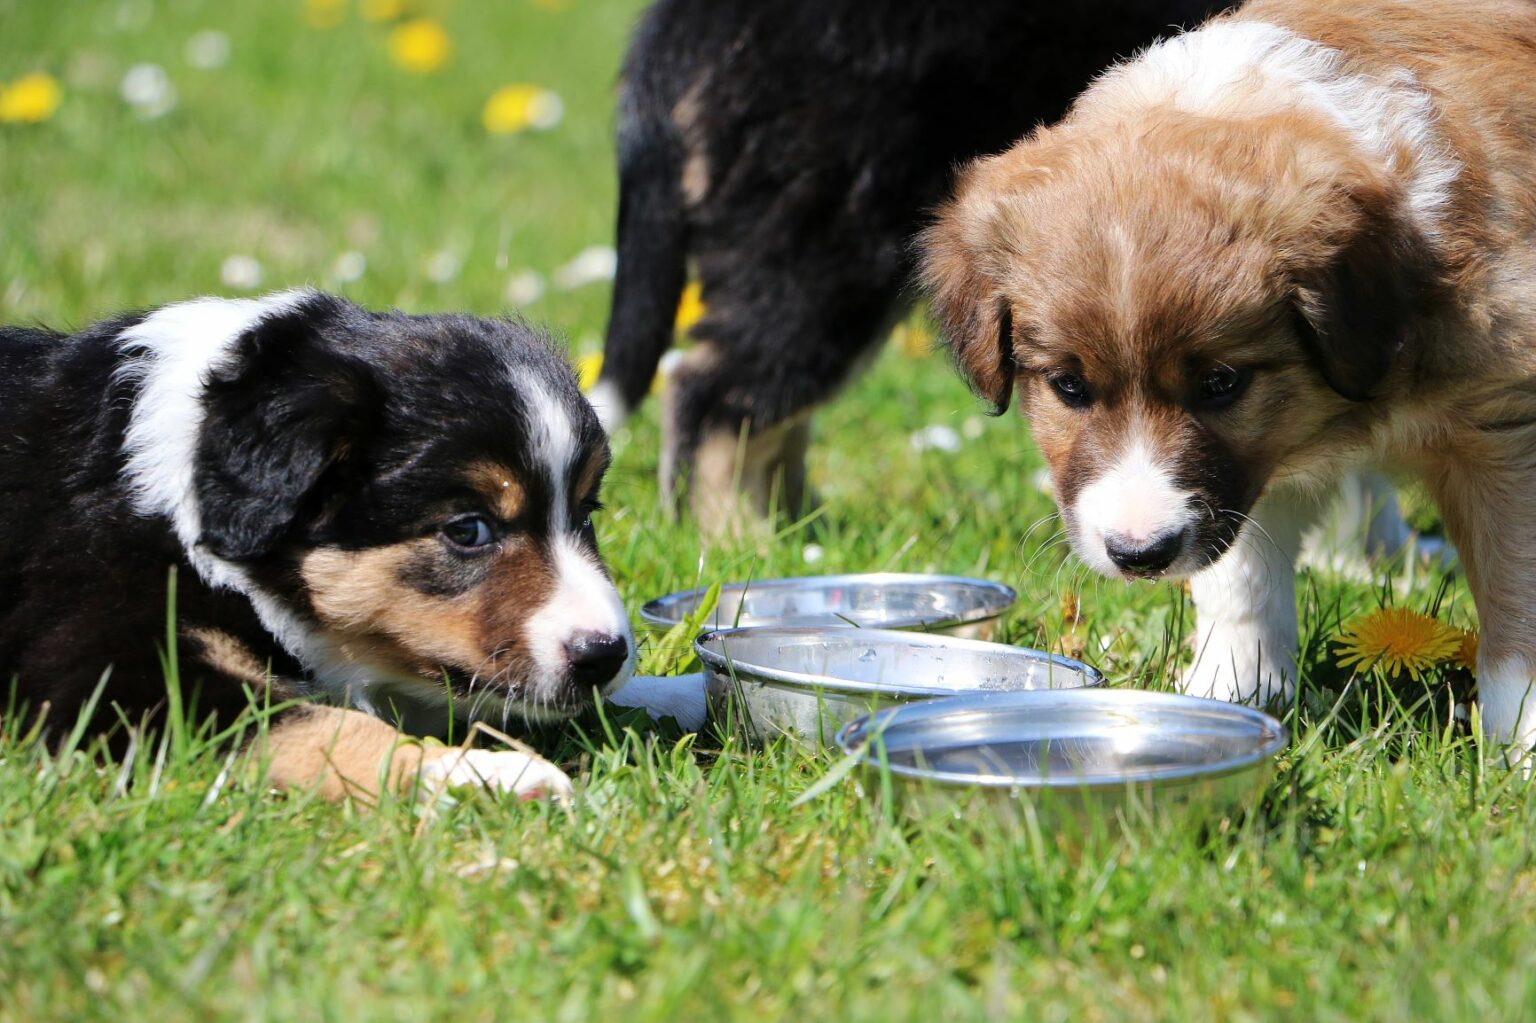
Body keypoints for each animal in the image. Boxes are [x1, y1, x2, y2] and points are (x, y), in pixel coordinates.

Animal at [0, 287, 635, 798]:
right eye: (467, 530)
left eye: (584, 513)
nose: (605, 656)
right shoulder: (112, 665)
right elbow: (316, 723)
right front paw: (475, 774)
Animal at [915, 0, 1536, 749]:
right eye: (1068, 386)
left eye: (1220, 383)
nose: (1140, 554)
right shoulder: (1255, 461)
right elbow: (1240, 573)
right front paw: (1230, 692)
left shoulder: (1505, 430)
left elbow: (1516, 601)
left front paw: (1522, 744)